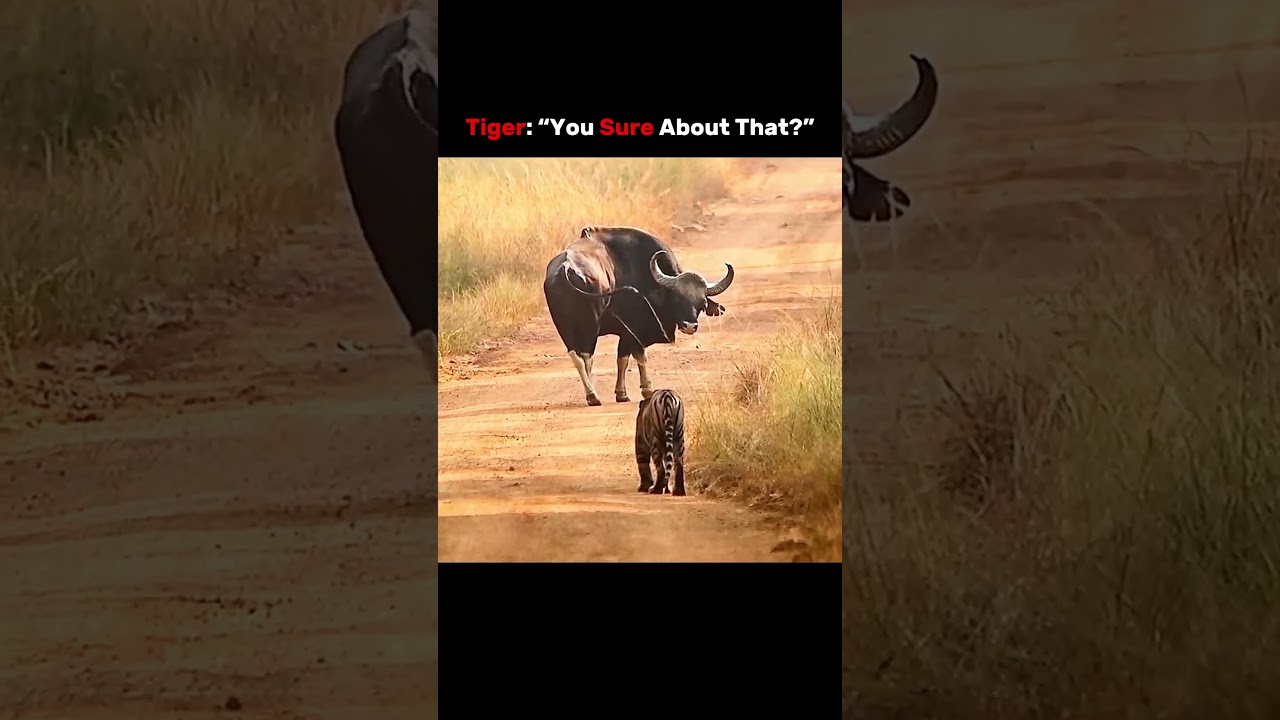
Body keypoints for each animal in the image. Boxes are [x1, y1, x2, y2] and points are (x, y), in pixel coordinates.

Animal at [543, 226, 735, 407]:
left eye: (702, 303)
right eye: (677, 298)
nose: (689, 326)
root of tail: (566, 268)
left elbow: (627, 358)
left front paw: (623, 392)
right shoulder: (632, 331)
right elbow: (633, 357)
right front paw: (642, 390)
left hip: (565, 328)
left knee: (577, 357)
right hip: (589, 327)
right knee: (585, 357)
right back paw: (592, 395)